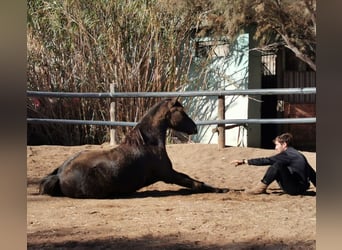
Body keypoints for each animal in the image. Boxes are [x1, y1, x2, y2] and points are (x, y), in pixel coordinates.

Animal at [38, 97, 228, 197]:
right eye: (181, 112)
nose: (195, 128)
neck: (147, 144)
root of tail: (60, 174)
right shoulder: (167, 174)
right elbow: (194, 183)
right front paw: (220, 189)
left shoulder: (170, 172)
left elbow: (192, 179)